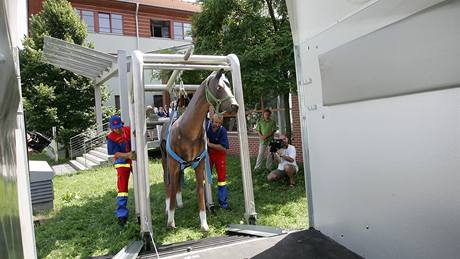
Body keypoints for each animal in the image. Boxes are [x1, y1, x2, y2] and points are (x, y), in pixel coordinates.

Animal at [159, 69, 237, 232]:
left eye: (229, 85)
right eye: (219, 87)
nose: (235, 106)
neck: (188, 131)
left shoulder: (199, 165)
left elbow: (200, 191)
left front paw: (204, 224)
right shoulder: (173, 165)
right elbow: (171, 186)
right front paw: (170, 221)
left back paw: (180, 202)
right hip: (166, 161)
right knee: (167, 182)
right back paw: (168, 207)